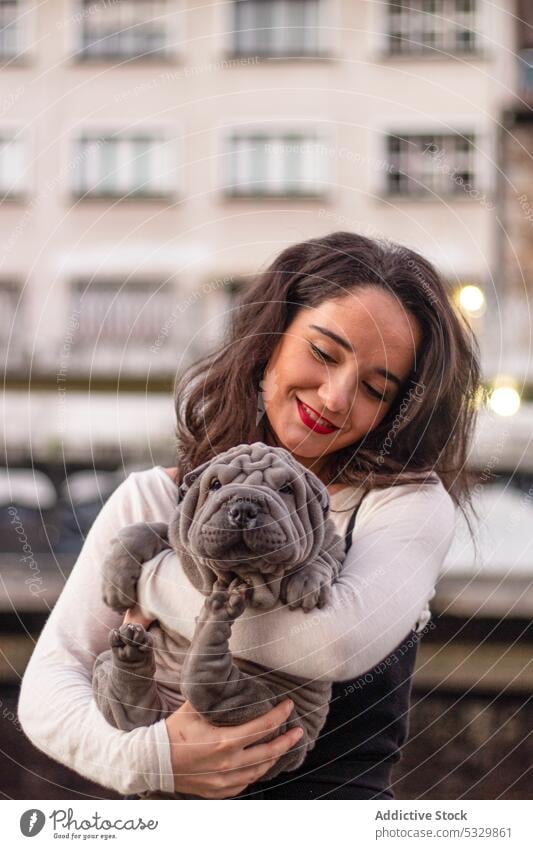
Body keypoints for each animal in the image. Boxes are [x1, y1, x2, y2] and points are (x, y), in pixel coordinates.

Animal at [92, 440, 344, 800]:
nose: (243, 507)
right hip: (107, 671)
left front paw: (308, 582)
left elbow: (322, 558)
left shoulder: (334, 547)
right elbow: (146, 529)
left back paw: (215, 618)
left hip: (277, 721)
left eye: (286, 489)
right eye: (214, 485)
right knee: (133, 711)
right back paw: (133, 651)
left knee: (216, 691)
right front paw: (114, 582)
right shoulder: (178, 535)